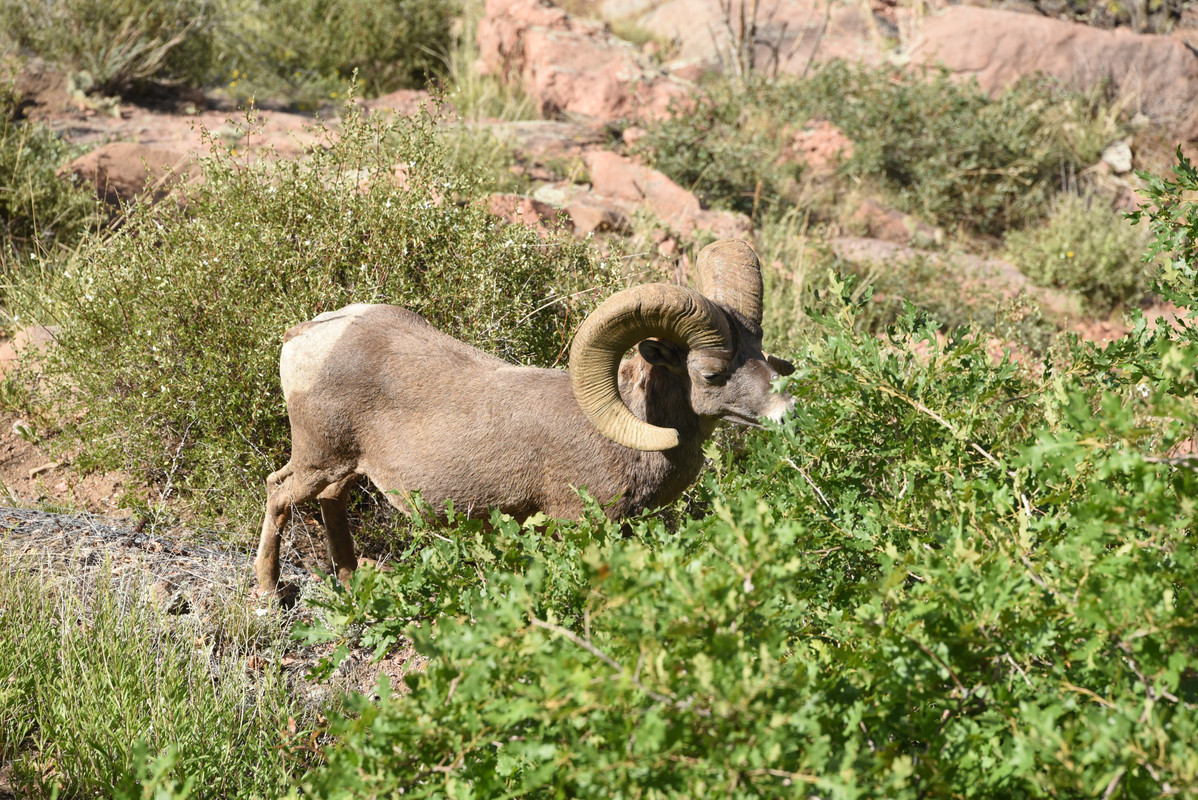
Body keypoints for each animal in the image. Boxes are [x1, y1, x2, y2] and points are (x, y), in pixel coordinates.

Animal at [252, 240, 795, 591]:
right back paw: (267, 594)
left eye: (761, 354)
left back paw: (348, 581)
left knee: (329, 502)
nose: (785, 413)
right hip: (319, 459)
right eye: (711, 374)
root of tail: (305, 336)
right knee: (278, 492)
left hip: (343, 468)